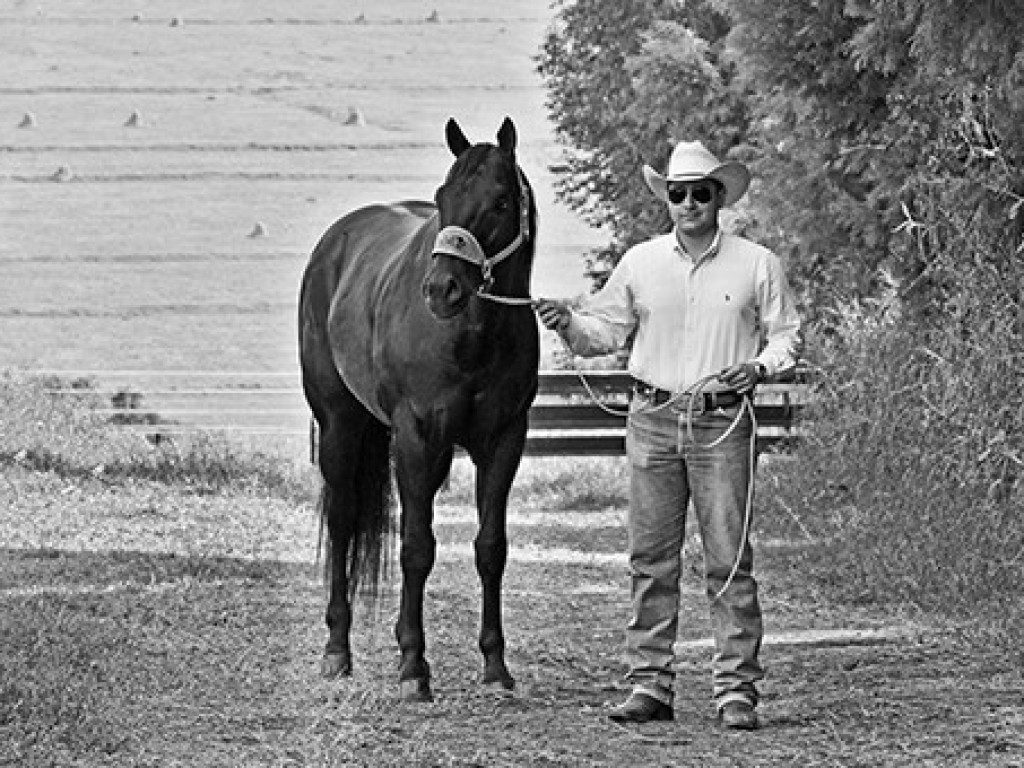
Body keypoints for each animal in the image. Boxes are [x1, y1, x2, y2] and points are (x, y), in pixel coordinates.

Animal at [296, 115, 540, 704]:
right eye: (443, 197)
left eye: (501, 201)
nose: (441, 289)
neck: (471, 337)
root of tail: (335, 242)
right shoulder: (417, 436)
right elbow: (415, 548)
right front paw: (413, 667)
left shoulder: (504, 441)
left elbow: (489, 547)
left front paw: (495, 667)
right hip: (341, 426)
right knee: (343, 522)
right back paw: (337, 649)